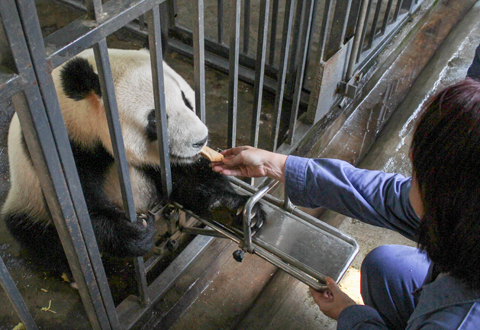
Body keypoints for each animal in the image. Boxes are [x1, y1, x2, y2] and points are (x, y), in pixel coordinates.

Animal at [0, 48, 262, 276]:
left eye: (186, 100)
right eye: (156, 118)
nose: (200, 140)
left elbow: (186, 177)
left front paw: (238, 209)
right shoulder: (63, 148)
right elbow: (78, 212)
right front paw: (137, 232)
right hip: (27, 198)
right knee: (37, 234)